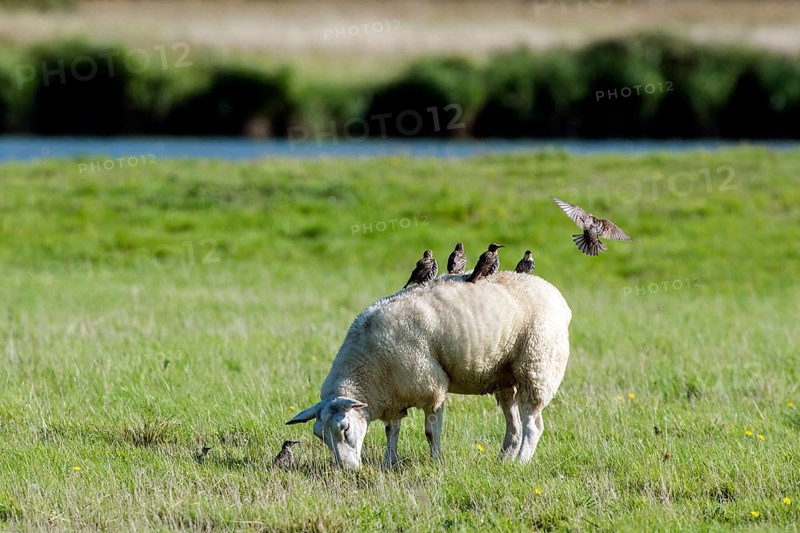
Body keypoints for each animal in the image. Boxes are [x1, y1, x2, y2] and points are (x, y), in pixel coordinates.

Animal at [286, 271, 572, 469]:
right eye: (319, 435)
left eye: (344, 428)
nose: (346, 470)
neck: (367, 370)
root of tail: (554, 293)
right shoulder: (393, 393)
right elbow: (392, 431)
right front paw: (389, 462)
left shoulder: (430, 386)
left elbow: (430, 432)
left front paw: (435, 462)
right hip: (504, 378)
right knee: (514, 426)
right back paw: (503, 460)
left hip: (537, 366)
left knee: (533, 425)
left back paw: (521, 462)